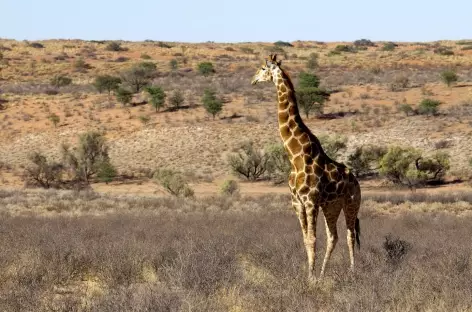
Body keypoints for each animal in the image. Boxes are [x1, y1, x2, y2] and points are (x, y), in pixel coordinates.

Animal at [251, 54, 362, 282]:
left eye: (262, 68)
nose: (253, 79)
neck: (296, 156)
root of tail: (357, 182)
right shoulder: (297, 202)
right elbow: (305, 239)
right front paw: (310, 274)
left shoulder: (311, 201)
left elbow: (312, 239)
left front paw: (310, 278)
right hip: (331, 206)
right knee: (333, 236)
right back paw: (323, 273)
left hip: (352, 203)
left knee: (350, 234)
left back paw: (352, 271)